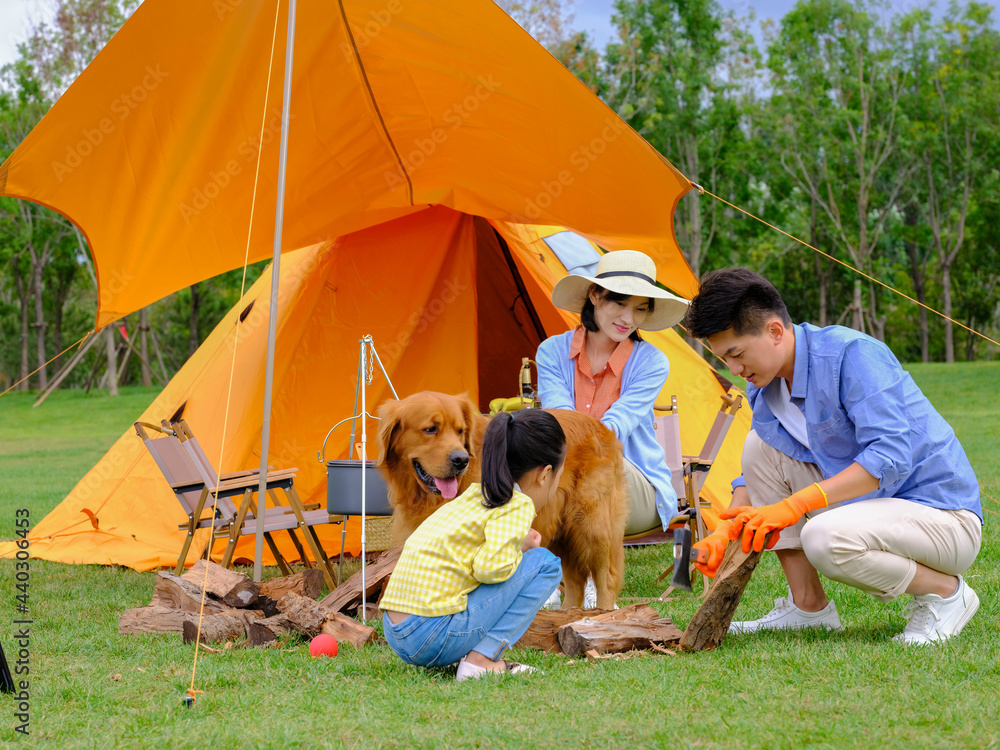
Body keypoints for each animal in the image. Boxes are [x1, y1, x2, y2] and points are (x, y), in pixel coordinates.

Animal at [376, 394, 624, 612]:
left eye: (460, 431)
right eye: (430, 429)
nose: (461, 460)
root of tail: (601, 425)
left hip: (591, 526)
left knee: (606, 577)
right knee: (575, 582)